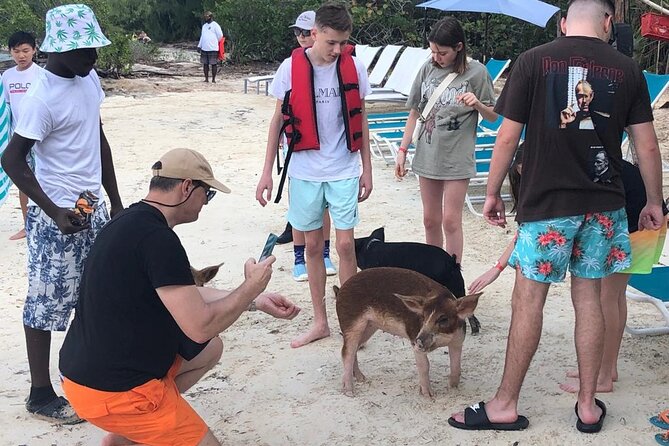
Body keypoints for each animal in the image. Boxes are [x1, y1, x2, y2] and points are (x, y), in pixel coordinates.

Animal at [334, 267, 480, 398]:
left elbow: (456, 365)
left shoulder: (458, 340)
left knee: (354, 349)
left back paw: (362, 378)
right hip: (351, 323)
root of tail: (342, 289)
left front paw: (452, 387)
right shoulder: (414, 337)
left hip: (370, 327)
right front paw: (428, 396)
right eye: (423, 317)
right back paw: (350, 392)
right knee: (346, 352)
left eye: (443, 319)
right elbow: (424, 366)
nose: (419, 340)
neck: (444, 341)